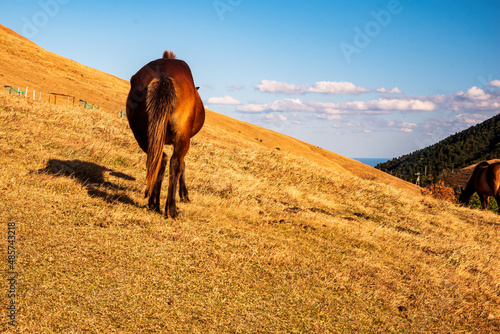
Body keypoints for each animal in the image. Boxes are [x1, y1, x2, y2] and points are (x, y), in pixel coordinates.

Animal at [127, 49, 205, 217]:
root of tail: (164, 77)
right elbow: (182, 165)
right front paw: (184, 195)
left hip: (142, 134)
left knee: (159, 160)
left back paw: (153, 203)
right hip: (182, 138)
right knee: (174, 163)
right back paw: (171, 209)